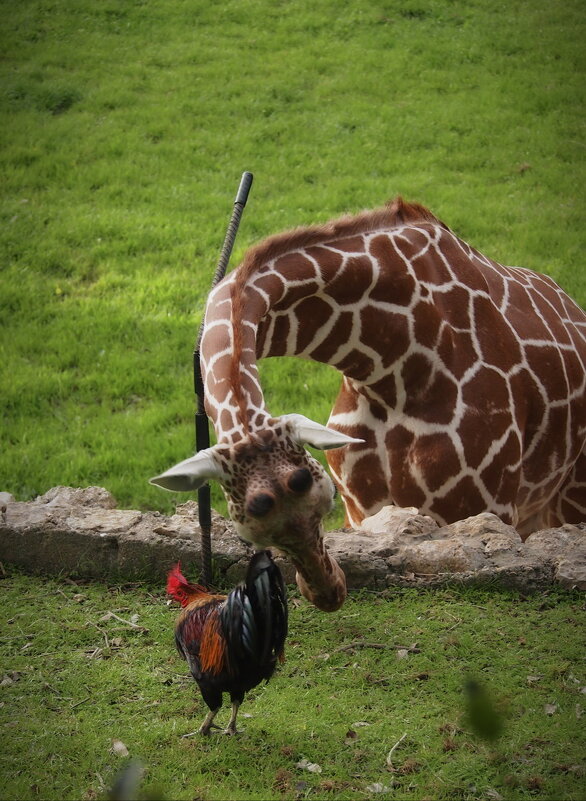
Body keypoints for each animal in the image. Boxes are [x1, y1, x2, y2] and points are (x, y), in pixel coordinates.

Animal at [151, 197, 584, 608]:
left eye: (323, 502)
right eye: (249, 531)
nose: (329, 593)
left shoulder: (477, 506)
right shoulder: (363, 506)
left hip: (567, 495)